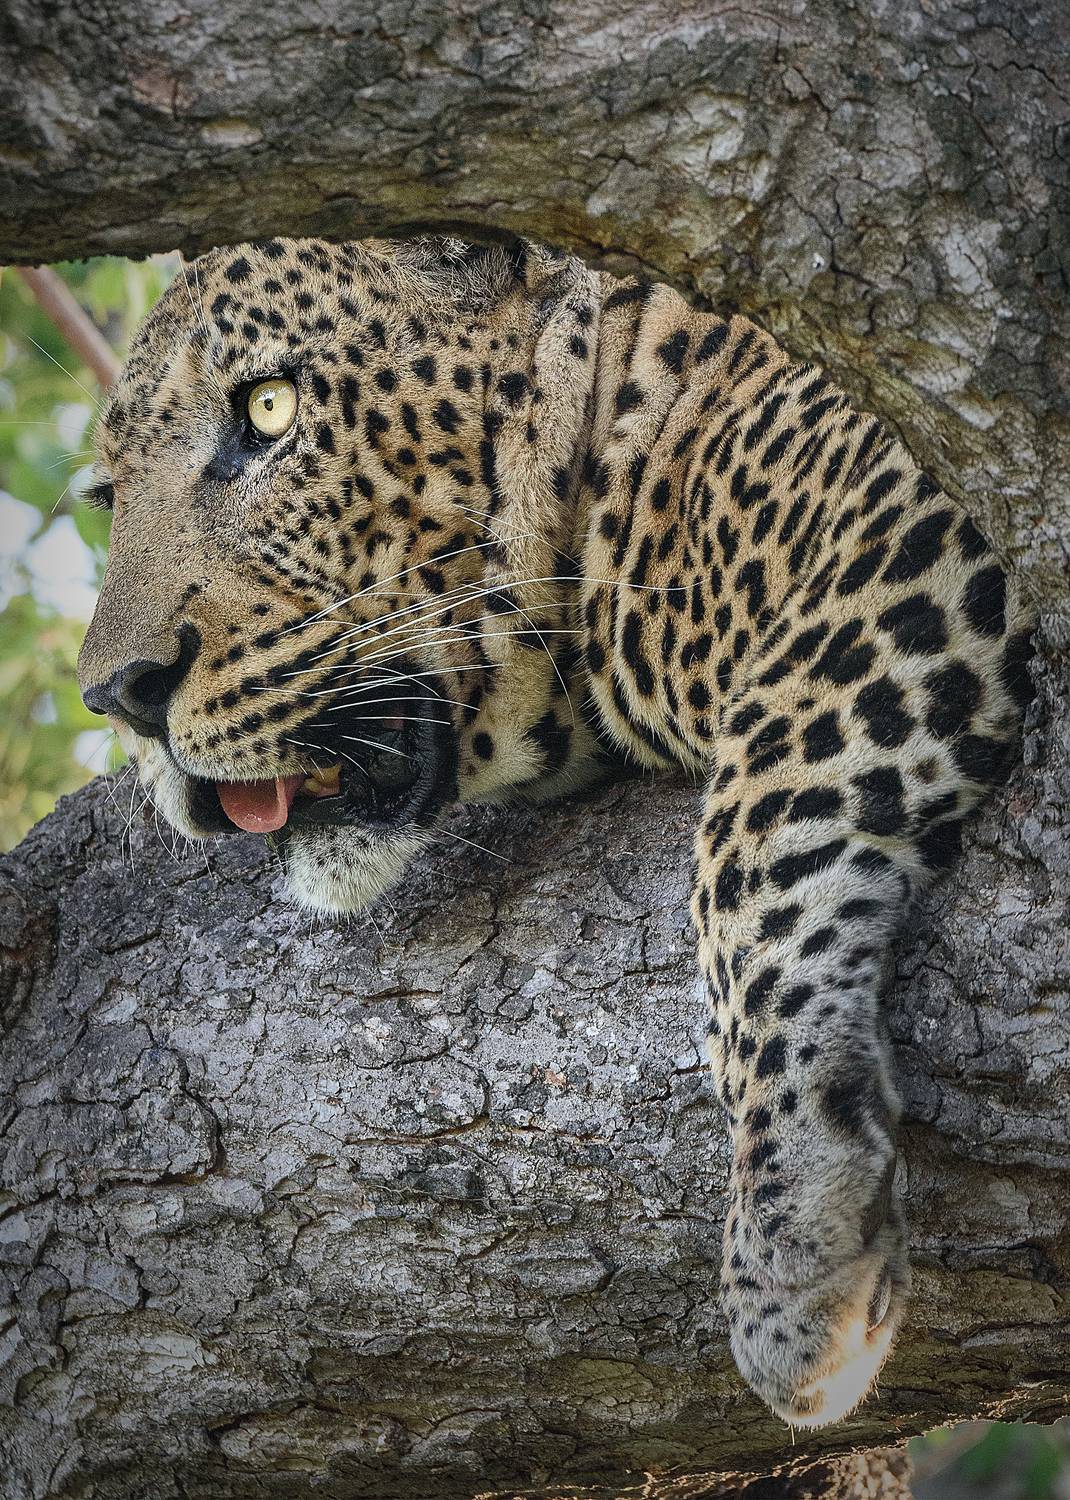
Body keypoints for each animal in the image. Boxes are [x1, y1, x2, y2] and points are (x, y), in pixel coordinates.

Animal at [76, 234, 1035, 1429]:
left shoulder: (902, 505)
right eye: (108, 496)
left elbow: (754, 826)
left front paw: (795, 1242)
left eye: (268, 409)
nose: (118, 696)